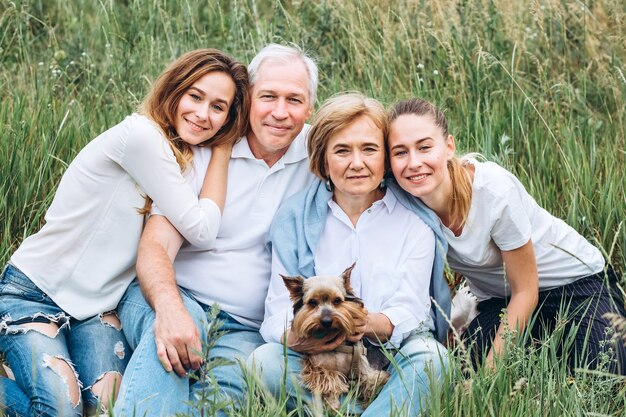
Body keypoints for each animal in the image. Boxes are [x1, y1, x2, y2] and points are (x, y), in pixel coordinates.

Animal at [280, 264, 388, 412]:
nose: (326, 321)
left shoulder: (363, 365)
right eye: (312, 302)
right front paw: (333, 404)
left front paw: (371, 396)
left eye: (337, 301)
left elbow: (371, 381)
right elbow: (329, 380)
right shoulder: (318, 366)